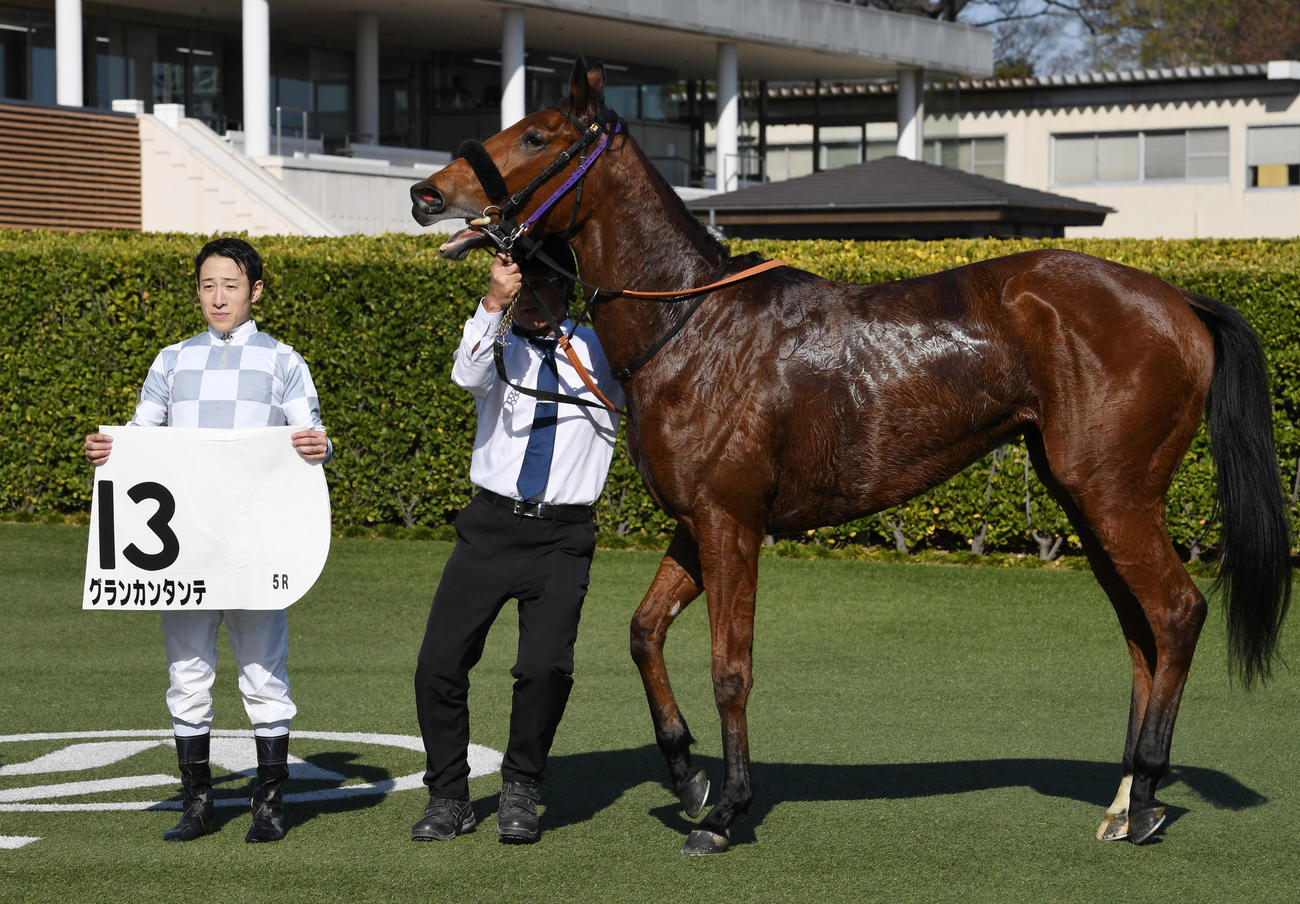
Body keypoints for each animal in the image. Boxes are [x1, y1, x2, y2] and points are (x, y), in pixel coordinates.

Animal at [410, 59, 1292, 855]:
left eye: (537, 135)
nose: (428, 193)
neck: (694, 326)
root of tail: (1178, 301)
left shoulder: (732, 523)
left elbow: (730, 666)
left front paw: (726, 811)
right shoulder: (697, 524)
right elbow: (643, 631)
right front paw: (686, 773)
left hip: (1114, 493)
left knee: (1175, 613)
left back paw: (1144, 800)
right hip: (1086, 497)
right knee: (1142, 631)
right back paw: (1124, 799)